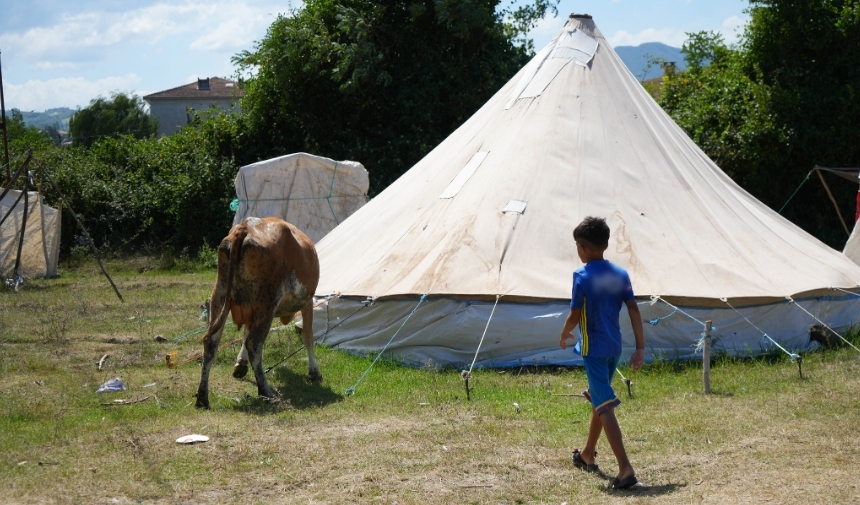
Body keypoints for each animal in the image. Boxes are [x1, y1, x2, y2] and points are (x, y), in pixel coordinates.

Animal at [195, 217, 322, 410]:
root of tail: (246, 226)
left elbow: (245, 334)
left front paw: (240, 364)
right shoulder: (308, 302)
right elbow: (308, 337)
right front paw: (314, 371)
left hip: (220, 294)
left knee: (211, 343)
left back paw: (202, 397)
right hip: (267, 301)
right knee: (254, 344)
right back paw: (266, 392)